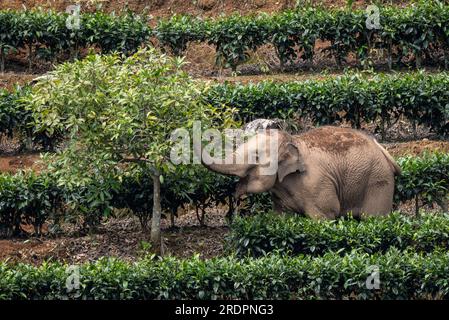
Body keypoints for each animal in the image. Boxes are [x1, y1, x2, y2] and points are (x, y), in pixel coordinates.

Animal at [196, 125, 400, 220]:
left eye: (256, 157)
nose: (236, 195)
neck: (293, 140)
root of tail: (383, 151)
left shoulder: (317, 184)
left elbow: (326, 215)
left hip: (378, 181)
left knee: (374, 218)